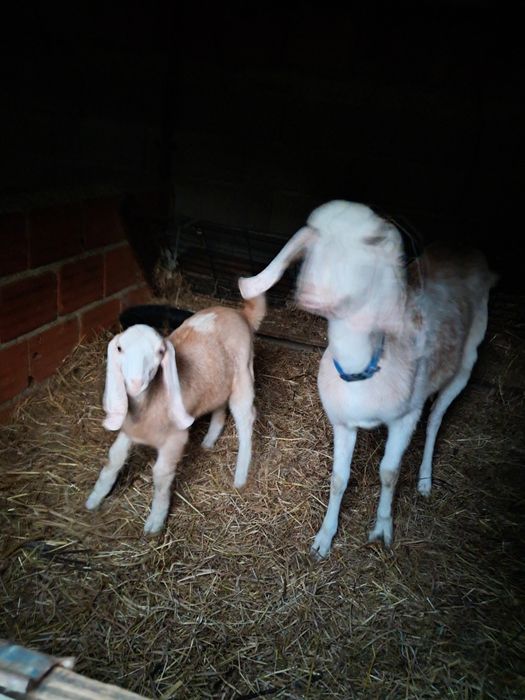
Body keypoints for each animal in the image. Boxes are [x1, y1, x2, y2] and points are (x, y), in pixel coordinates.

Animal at [86, 295, 266, 534]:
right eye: (120, 348)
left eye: (160, 352)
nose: (135, 382)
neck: (149, 402)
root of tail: (239, 313)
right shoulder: (129, 431)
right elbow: (114, 459)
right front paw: (95, 498)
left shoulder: (175, 439)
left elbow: (160, 475)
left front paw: (155, 520)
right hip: (219, 381)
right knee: (219, 407)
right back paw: (209, 440)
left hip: (244, 376)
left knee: (246, 419)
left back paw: (240, 477)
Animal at [239, 201, 497, 558]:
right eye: (313, 241)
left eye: (370, 243)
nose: (312, 292)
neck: (362, 369)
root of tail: (466, 249)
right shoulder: (342, 423)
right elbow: (338, 478)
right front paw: (324, 538)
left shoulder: (405, 418)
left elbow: (389, 472)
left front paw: (383, 527)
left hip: (465, 365)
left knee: (435, 420)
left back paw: (425, 480)